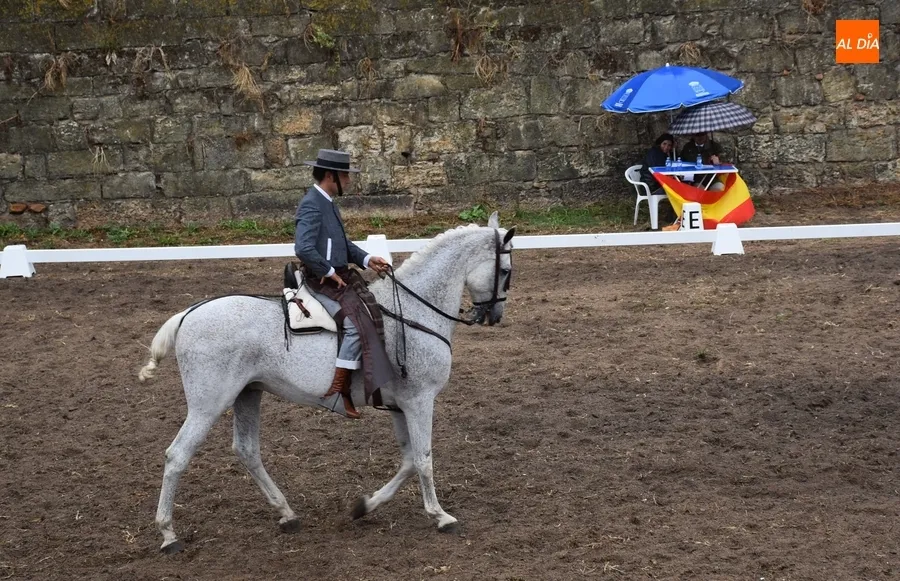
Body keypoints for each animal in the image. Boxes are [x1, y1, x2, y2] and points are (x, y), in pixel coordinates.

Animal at [137, 212, 515, 553]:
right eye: (506, 271)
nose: (494, 316)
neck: (411, 312)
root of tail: (189, 313)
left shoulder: (400, 405)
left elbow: (408, 460)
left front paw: (365, 506)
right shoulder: (420, 401)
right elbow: (423, 459)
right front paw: (440, 516)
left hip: (247, 394)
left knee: (246, 450)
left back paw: (286, 513)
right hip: (208, 405)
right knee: (177, 456)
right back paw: (168, 534)